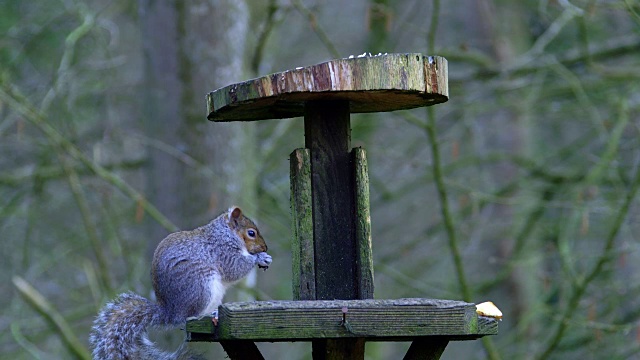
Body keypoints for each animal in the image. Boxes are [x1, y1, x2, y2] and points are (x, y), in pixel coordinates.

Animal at [89, 207, 270, 360]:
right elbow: (235, 268)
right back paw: (205, 316)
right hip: (201, 289)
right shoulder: (222, 252)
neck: (225, 233)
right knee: (186, 318)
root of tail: (170, 312)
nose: (264, 247)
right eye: (251, 233)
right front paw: (260, 258)